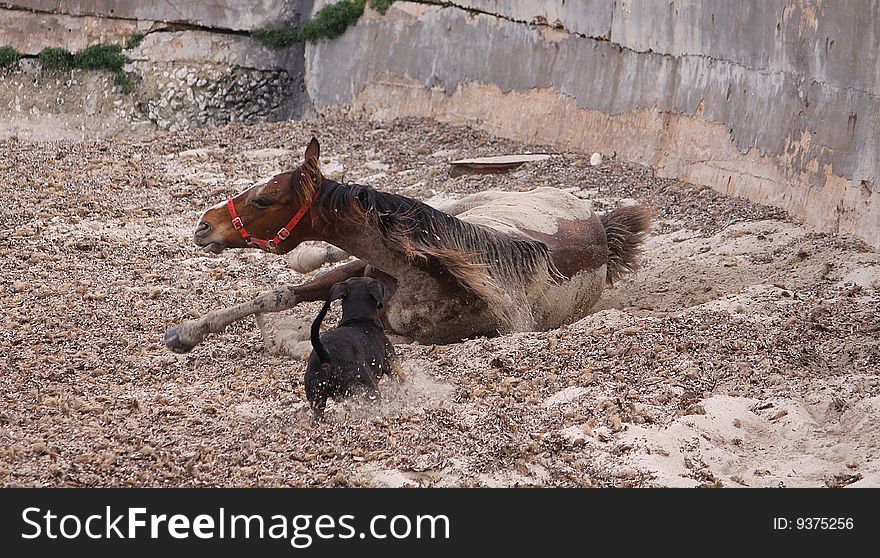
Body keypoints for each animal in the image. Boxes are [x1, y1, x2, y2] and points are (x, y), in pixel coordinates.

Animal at [165, 137, 648, 354]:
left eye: (263, 199)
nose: (204, 226)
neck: (422, 272)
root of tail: (598, 221)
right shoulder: (358, 268)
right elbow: (276, 295)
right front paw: (186, 333)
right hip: (465, 202)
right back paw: (308, 255)